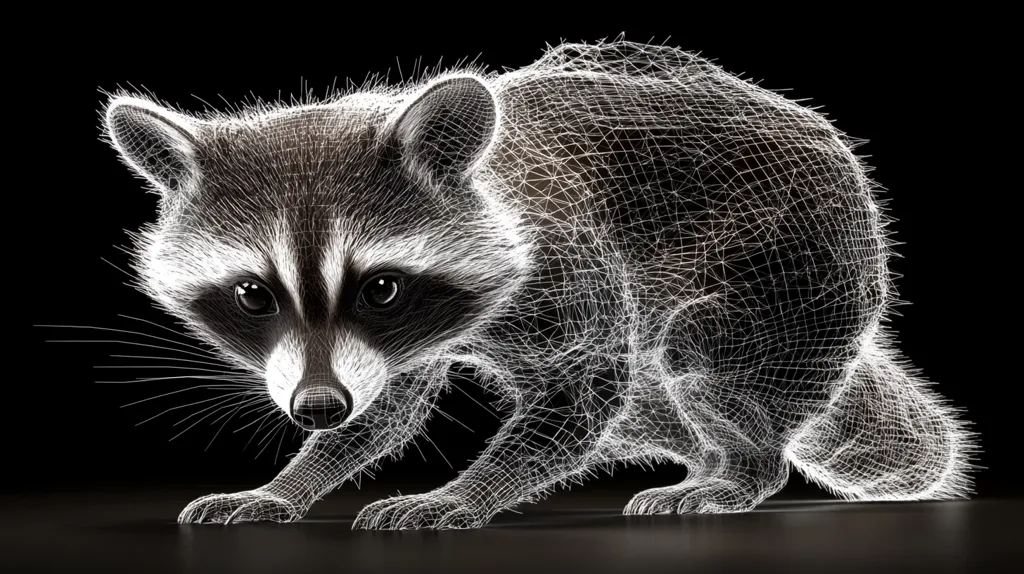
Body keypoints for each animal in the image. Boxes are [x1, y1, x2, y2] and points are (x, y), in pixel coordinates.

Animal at [101, 40, 977, 529]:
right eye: (254, 294)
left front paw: (469, 493)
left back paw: (738, 467)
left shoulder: (566, 251)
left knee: (703, 360)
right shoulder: (386, 350)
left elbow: (584, 385)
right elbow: (385, 406)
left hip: (800, 255)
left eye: (380, 287)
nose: (315, 406)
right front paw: (291, 481)